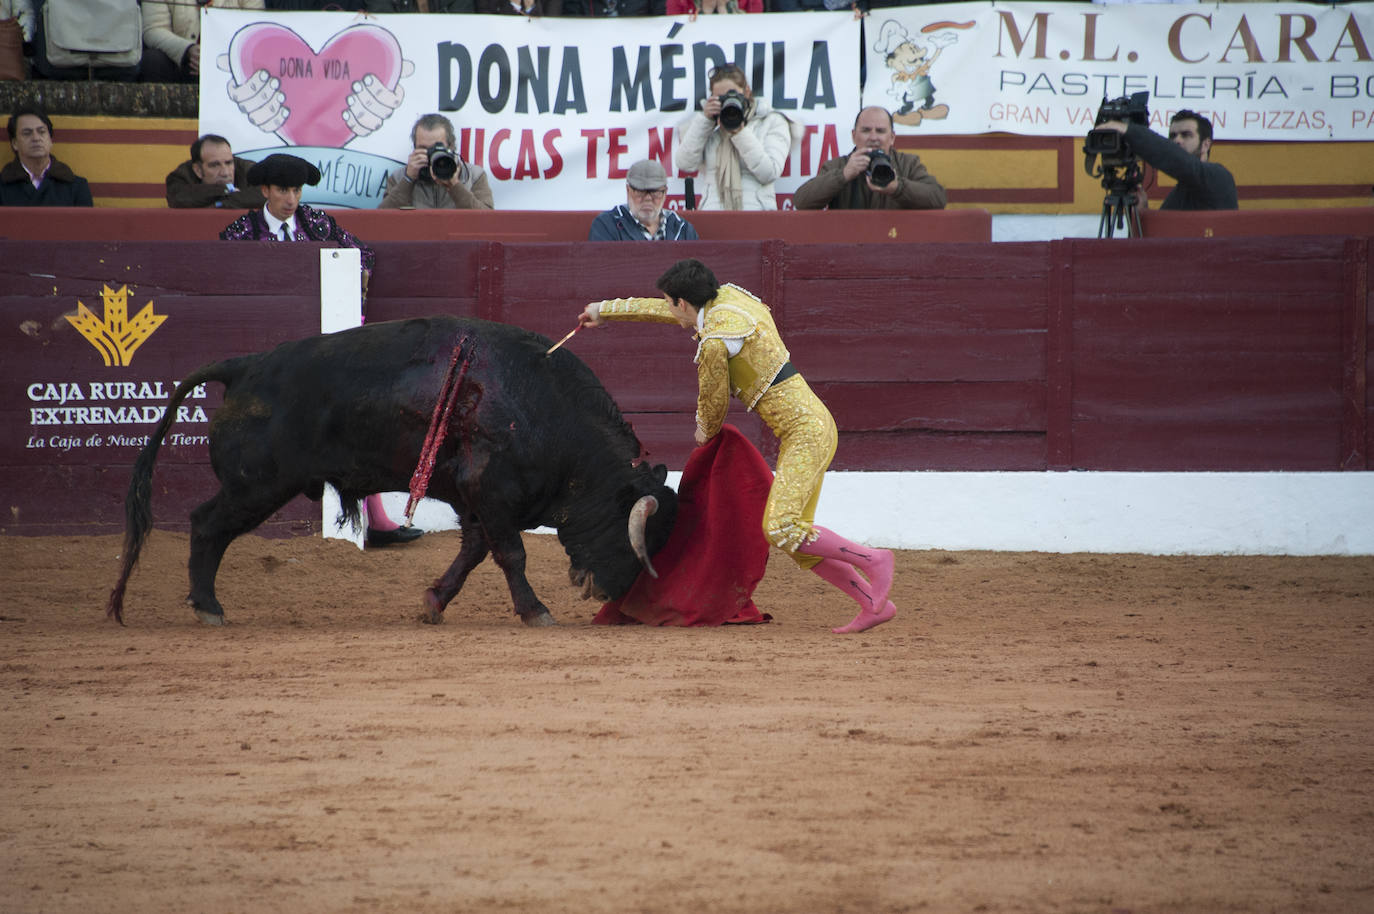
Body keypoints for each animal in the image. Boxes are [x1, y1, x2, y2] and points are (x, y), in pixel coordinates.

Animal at [104, 317, 678, 623]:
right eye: (633, 537)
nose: (610, 594)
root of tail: (245, 365)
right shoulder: (489, 491)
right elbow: (510, 553)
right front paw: (536, 611)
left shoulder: (469, 496)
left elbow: (473, 551)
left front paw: (433, 603)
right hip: (256, 486)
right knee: (206, 526)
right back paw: (209, 607)